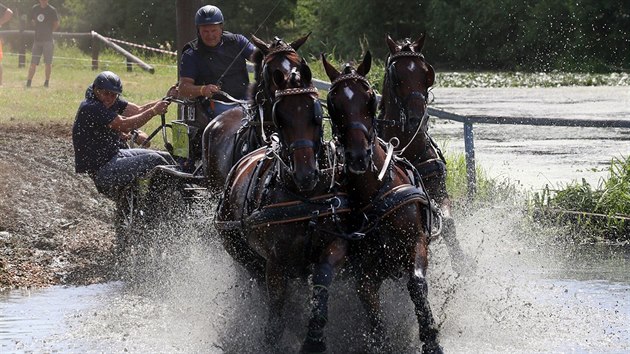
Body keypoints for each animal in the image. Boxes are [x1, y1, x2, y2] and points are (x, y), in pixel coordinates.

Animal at [216, 60, 356, 352]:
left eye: (317, 113)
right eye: (279, 116)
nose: (306, 173)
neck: (305, 199)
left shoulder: (336, 242)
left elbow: (323, 275)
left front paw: (314, 337)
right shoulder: (276, 262)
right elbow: (277, 310)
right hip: (236, 247)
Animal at [326, 51, 444, 352]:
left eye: (370, 98)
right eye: (333, 104)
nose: (357, 155)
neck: (376, 192)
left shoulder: (416, 242)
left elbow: (416, 284)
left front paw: (430, 338)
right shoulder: (364, 272)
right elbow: (371, 307)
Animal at [378, 34, 472, 272]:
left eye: (426, 73)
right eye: (396, 77)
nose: (417, 117)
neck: (407, 147)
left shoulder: (438, 188)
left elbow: (447, 222)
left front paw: (461, 262)